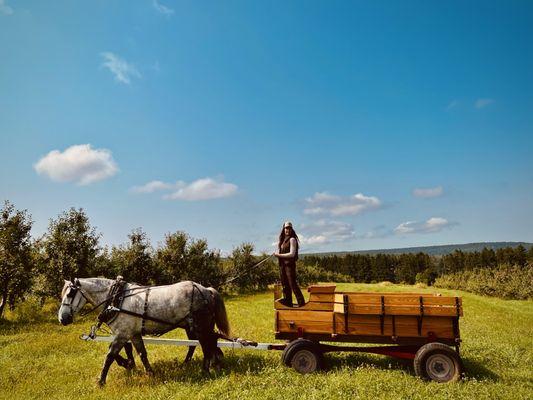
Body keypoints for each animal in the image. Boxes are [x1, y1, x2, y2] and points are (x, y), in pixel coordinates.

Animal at [58, 278, 229, 384]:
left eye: (70, 294)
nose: (62, 318)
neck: (117, 298)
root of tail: (206, 289)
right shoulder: (133, 334)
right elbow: (142, 354)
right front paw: (148, 372)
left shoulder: (122, 334)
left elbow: (110, 355)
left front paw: (101, 381)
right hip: (196, 326)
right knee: (209, 343)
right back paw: (213, 363)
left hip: (200, 326)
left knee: (206, 346)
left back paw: (205, 370)